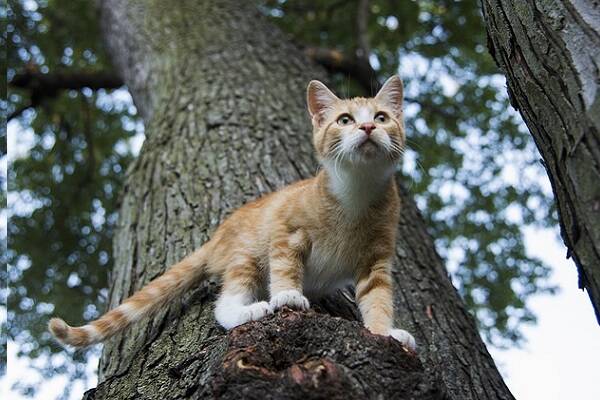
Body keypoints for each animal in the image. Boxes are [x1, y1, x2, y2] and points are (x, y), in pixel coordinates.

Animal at [49, 75, 418, 350]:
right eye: (345, 120)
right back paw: (247, 311)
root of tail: (217, 236)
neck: (355, 191)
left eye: (381, 117)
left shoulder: (376, 259)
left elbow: (378, 297)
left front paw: (384, 331)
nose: (368, 128)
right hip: (246, 254)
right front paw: (287, 293)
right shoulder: (285, 230)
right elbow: (285, 266)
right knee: (225, 302)